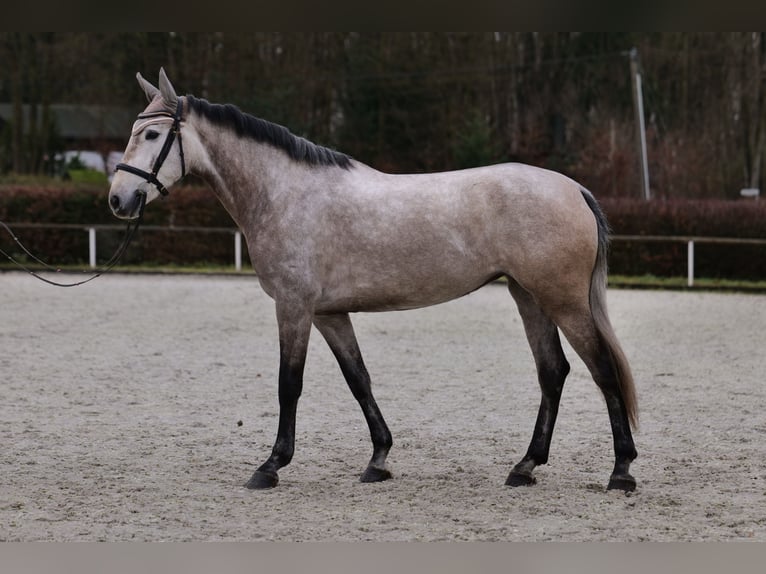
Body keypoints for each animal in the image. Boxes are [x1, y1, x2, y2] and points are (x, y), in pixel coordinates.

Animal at [108, 70, 640, 496]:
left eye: (152, 133)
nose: (119, 199)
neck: (285, 193)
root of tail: (574, 188)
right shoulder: (329, 314)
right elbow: (358, 379)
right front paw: (378, 459)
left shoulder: (294, 307)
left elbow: (289, 384)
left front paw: (271, 466)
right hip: (528, 295)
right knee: (553, 373)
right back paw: (525, 467)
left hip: (562, 301)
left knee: (602, 370)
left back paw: (621, 472)